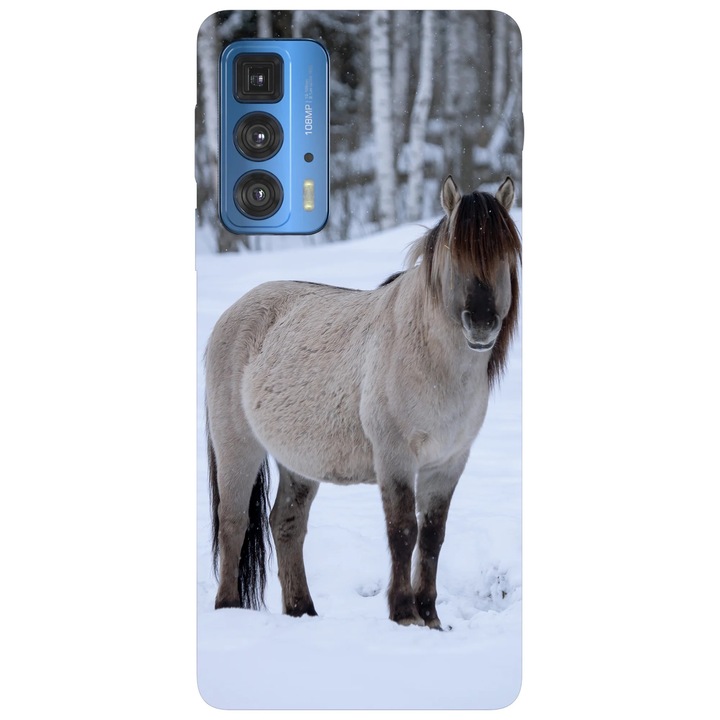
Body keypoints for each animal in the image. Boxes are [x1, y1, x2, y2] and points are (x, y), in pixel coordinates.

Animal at [205, 175, 521, 628]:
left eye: (504, 253)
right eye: (453, 252)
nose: (481, 323)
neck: (431, 362)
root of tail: (233, 313)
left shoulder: (448, 463)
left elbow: (432, 536)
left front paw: (431, 619)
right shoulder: (395, 457)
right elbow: (403, 530)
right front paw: (404, 614)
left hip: (298, 462)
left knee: (286, 524)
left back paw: (303, 611)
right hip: (237, 446)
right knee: (234, 521)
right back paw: (229, 608)